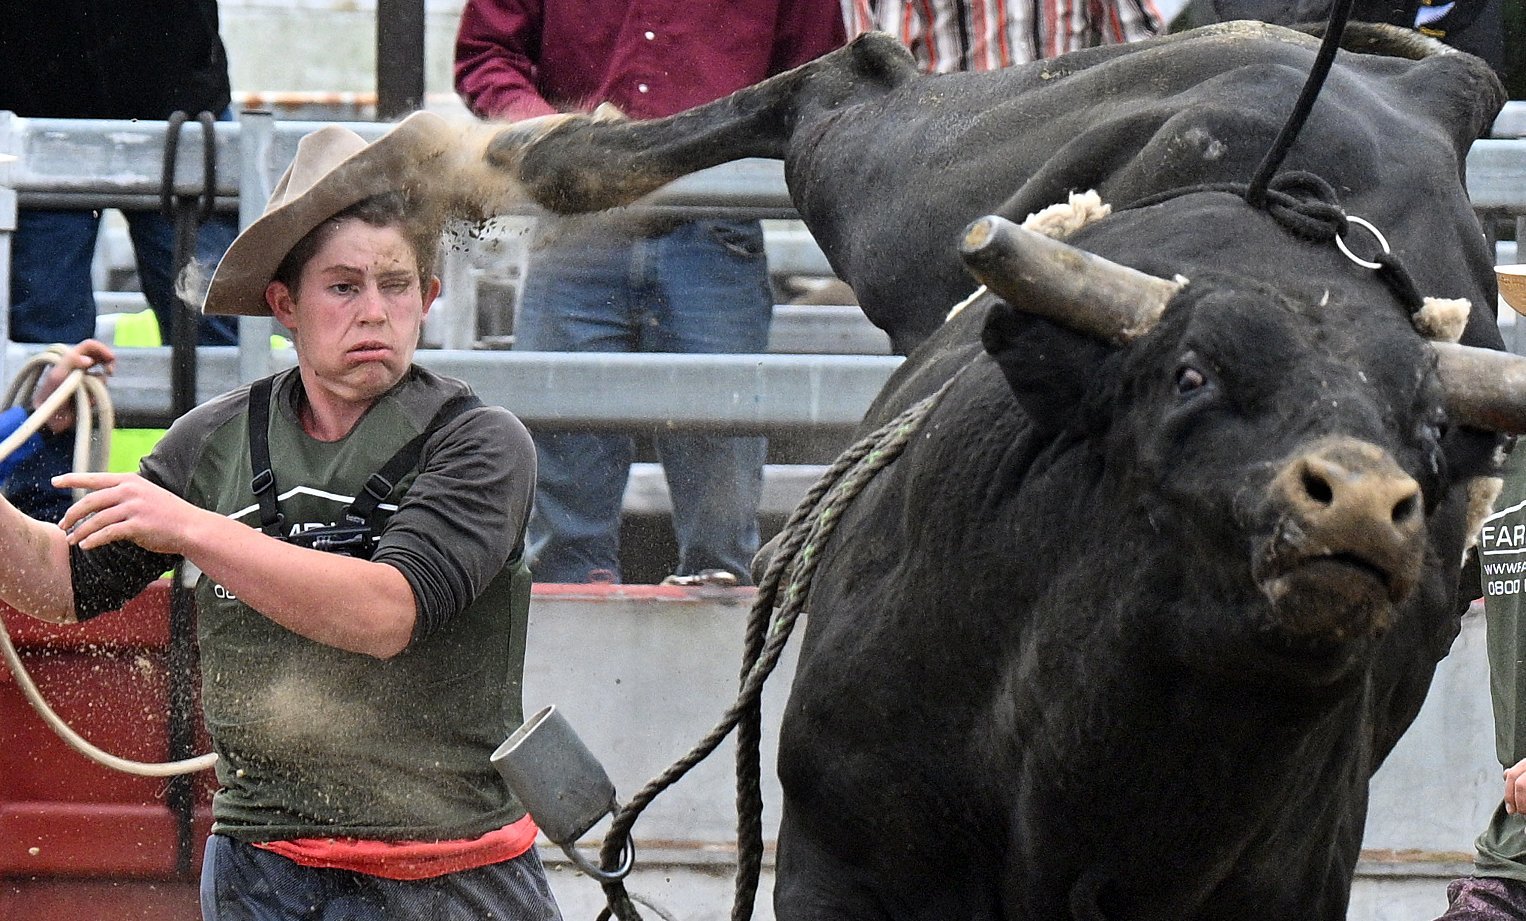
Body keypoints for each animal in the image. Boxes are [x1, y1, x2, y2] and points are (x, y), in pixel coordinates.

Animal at [494, 19, 1519, 921]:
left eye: (1432, 430)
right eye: (1190, 375)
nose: (1359, 501)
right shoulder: (836, 860)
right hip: (917, 177)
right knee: (850, 79)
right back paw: (539, 151)